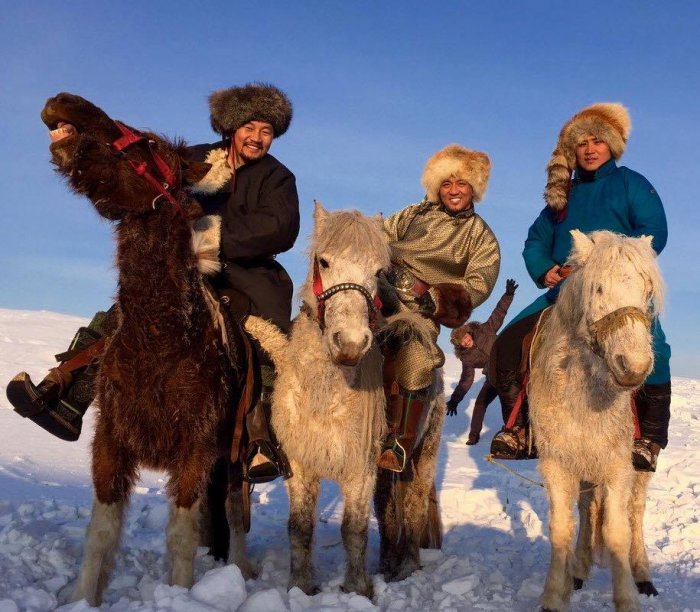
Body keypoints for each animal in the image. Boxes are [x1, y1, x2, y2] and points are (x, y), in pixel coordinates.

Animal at [39, 93, 252, 604]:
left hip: (236, 456)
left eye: (150, 143)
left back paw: (238, 572)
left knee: (235, 515)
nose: (64, 102)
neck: (159, 339)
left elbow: (181, 532)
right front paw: (84, 599)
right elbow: (101, 532)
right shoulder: (110, 442)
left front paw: (183, 594)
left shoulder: (195, 447)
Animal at [532, 231, 660, 612]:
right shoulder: (557, 463)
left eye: (647, 291)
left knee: (636, 513)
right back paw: (579, 570)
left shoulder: (618, 465)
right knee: (588, 510)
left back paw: (643, 576)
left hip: (639, 468)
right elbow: (561, 528)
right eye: (598, 288)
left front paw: (627, 598)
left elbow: (618, 533)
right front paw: (553, 595)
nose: (634, 365)